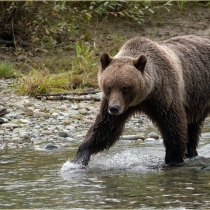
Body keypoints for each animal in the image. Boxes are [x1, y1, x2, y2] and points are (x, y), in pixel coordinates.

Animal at [73, 35, 210, 167]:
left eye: (125, 87)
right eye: (109, 86)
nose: (114, 108)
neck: (143, 96)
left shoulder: (164, 96)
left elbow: (173, 125)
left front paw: (173, 160)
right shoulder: (113, 103)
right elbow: (105, 127)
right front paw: (80, 158)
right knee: (193, 126)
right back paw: (191, 153)